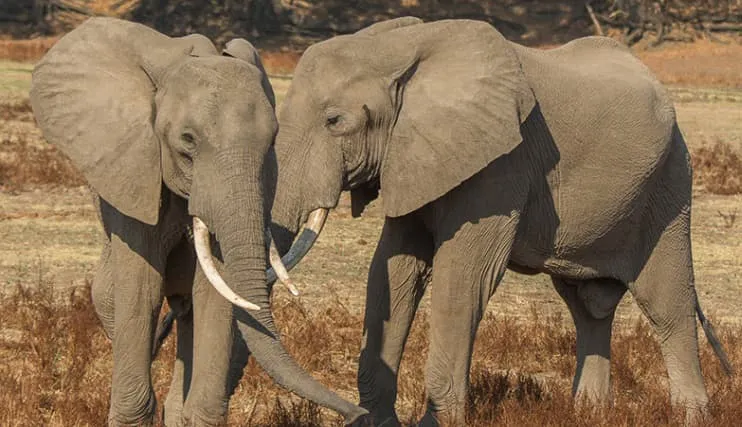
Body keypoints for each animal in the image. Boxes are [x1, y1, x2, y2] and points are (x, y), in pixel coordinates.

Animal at [30, 17, 368, 426]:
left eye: (272, 141)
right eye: (187, 140)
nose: (360, 414)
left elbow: (216, 289)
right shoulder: (135, 170)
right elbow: (142, 287)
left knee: (187, 307)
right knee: (114, 299)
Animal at [261, 17, 734, 426]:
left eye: (334, 121)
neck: (404, 45)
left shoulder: (501, 163)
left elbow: (463, 278)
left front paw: (436, 425)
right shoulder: (415, 156)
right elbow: (393, 271)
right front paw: (377, 423)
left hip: (669, 186)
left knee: (667, 304)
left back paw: (689, 417)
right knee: (587, 307)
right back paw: (590, 415)